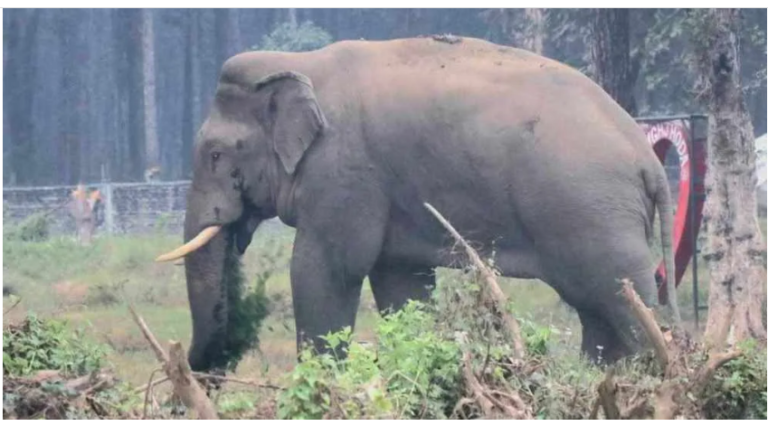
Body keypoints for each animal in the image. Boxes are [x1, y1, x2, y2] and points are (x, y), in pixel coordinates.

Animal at [156, 35, 678, 371]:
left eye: (216, 155)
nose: (211, 364)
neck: (299, 63)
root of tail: (645, 155)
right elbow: (401, 283)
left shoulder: (344, 171)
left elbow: (326, 268)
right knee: (598, 308)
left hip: (593, 212)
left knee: (622, 299)